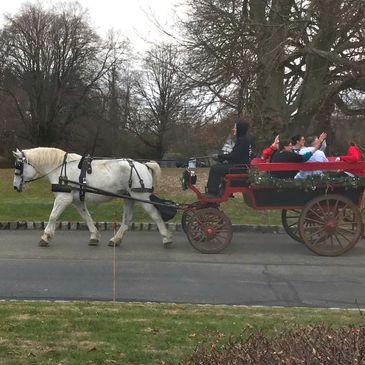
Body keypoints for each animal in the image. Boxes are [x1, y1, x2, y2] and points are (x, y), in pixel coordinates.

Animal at [12, 148, 173, 247]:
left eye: (18, 166)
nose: (15, 187)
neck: (60, 169)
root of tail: (144, 165)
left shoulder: (63, 198)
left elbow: (53, 216)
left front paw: (45, 237)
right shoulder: (77, 201)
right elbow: (87, 217)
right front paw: (94, 236)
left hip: (141, 196)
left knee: (156, 215)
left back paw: (167, 238)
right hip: (128, 197)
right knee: (127, 219)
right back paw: (115, 239)